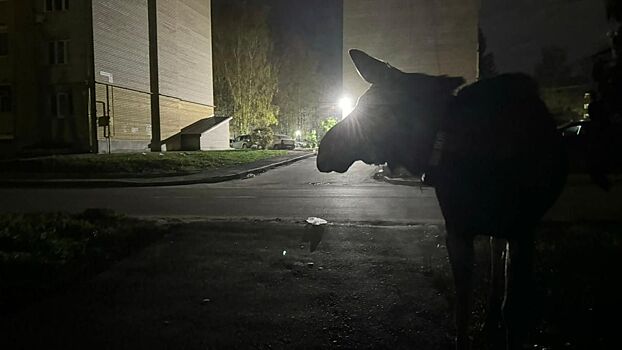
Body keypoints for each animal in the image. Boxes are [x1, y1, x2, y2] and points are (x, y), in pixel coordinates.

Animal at [320, 49, 568, 350]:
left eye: (373, 108)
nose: (322, 151)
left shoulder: (522, 232)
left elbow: (513, 312)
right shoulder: (457, 232)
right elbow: (462, 310)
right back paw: (488, 321)